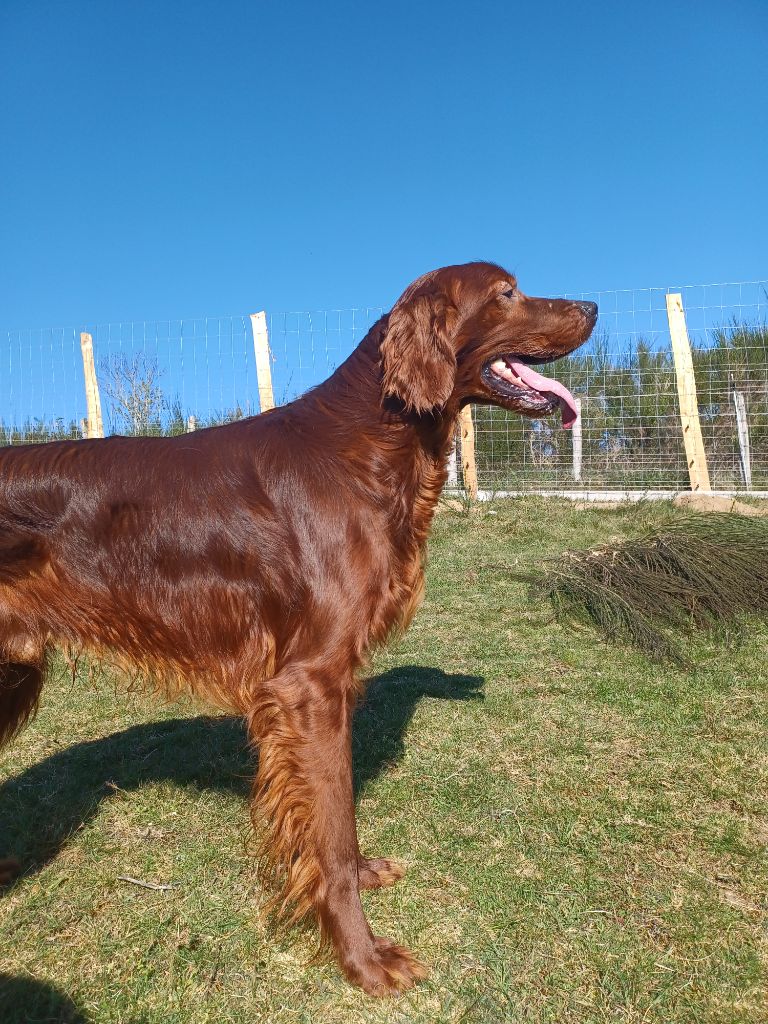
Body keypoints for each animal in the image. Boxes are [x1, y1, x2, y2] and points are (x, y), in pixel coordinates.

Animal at [0, 262, 593, 991]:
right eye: (507, 292)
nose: (593, 308)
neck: (362, 447)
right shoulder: (309, 686)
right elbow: (332, 829)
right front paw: (362, 958)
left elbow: (330, 820)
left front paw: (363, 882)